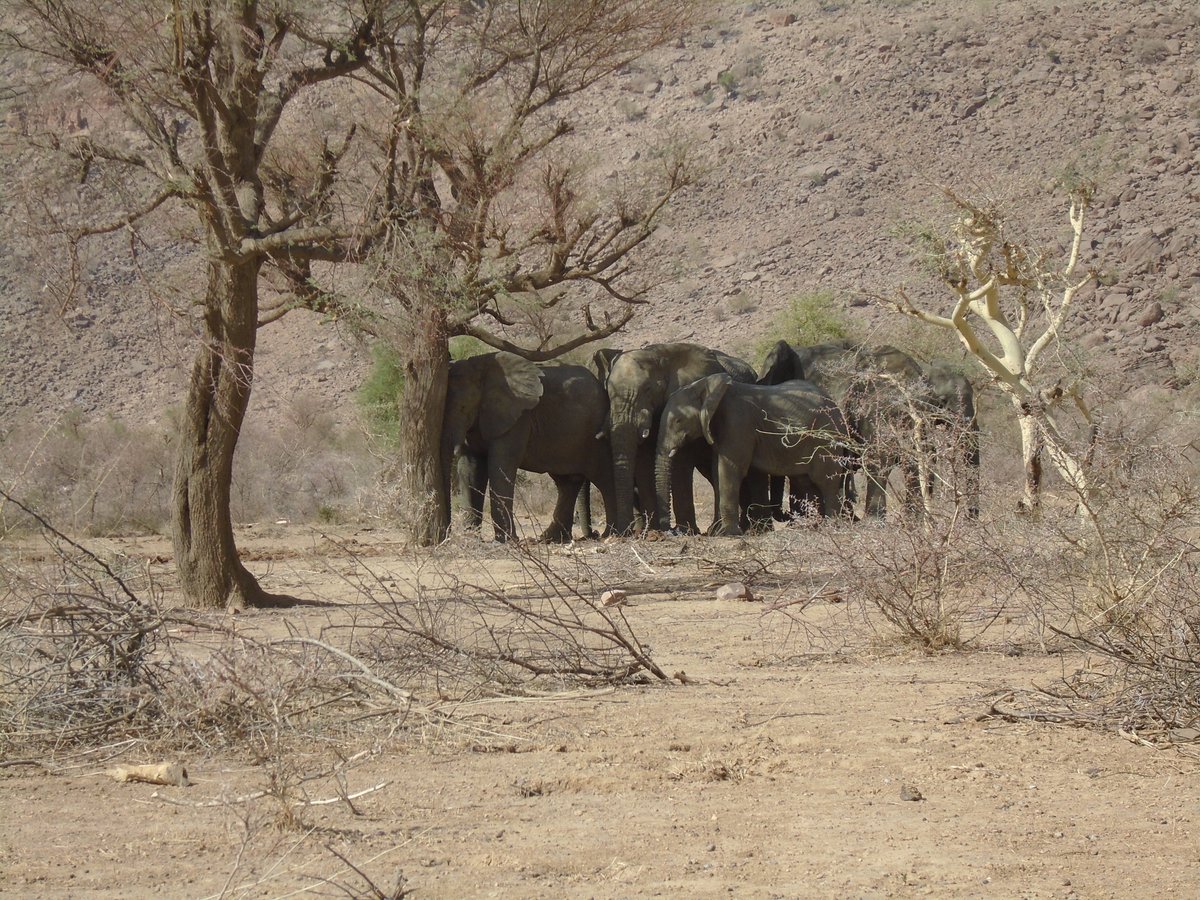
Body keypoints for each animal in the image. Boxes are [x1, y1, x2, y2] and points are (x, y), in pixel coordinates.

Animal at [441, 352, 617, 542]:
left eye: (463, 407)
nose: (447, 534)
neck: (479, 365)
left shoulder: (518, 419)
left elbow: (501, 466)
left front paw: (506, 540)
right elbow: (470, 468)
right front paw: (471, 537)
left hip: (595, 434)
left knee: (604, 478)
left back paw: (612, 533)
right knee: (567, 483)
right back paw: (551, 538)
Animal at [595, 342, 758, 534]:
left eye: (648, 389)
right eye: (608, 393)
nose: (623, 532)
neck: (657, 355)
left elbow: (681, 460)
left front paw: (686, 531)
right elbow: (643, 461)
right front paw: (654, 530)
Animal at [655, 374, 852, 536]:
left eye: (678, 421)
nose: (669, 532)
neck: (707, 386)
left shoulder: (738, 423)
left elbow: (730, 471)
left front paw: (727, 533)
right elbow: (718, 472)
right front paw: (715, 532)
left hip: (826, 440)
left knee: (825, 482)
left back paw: (831, 526)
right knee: (806, 483)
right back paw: (812, 527)